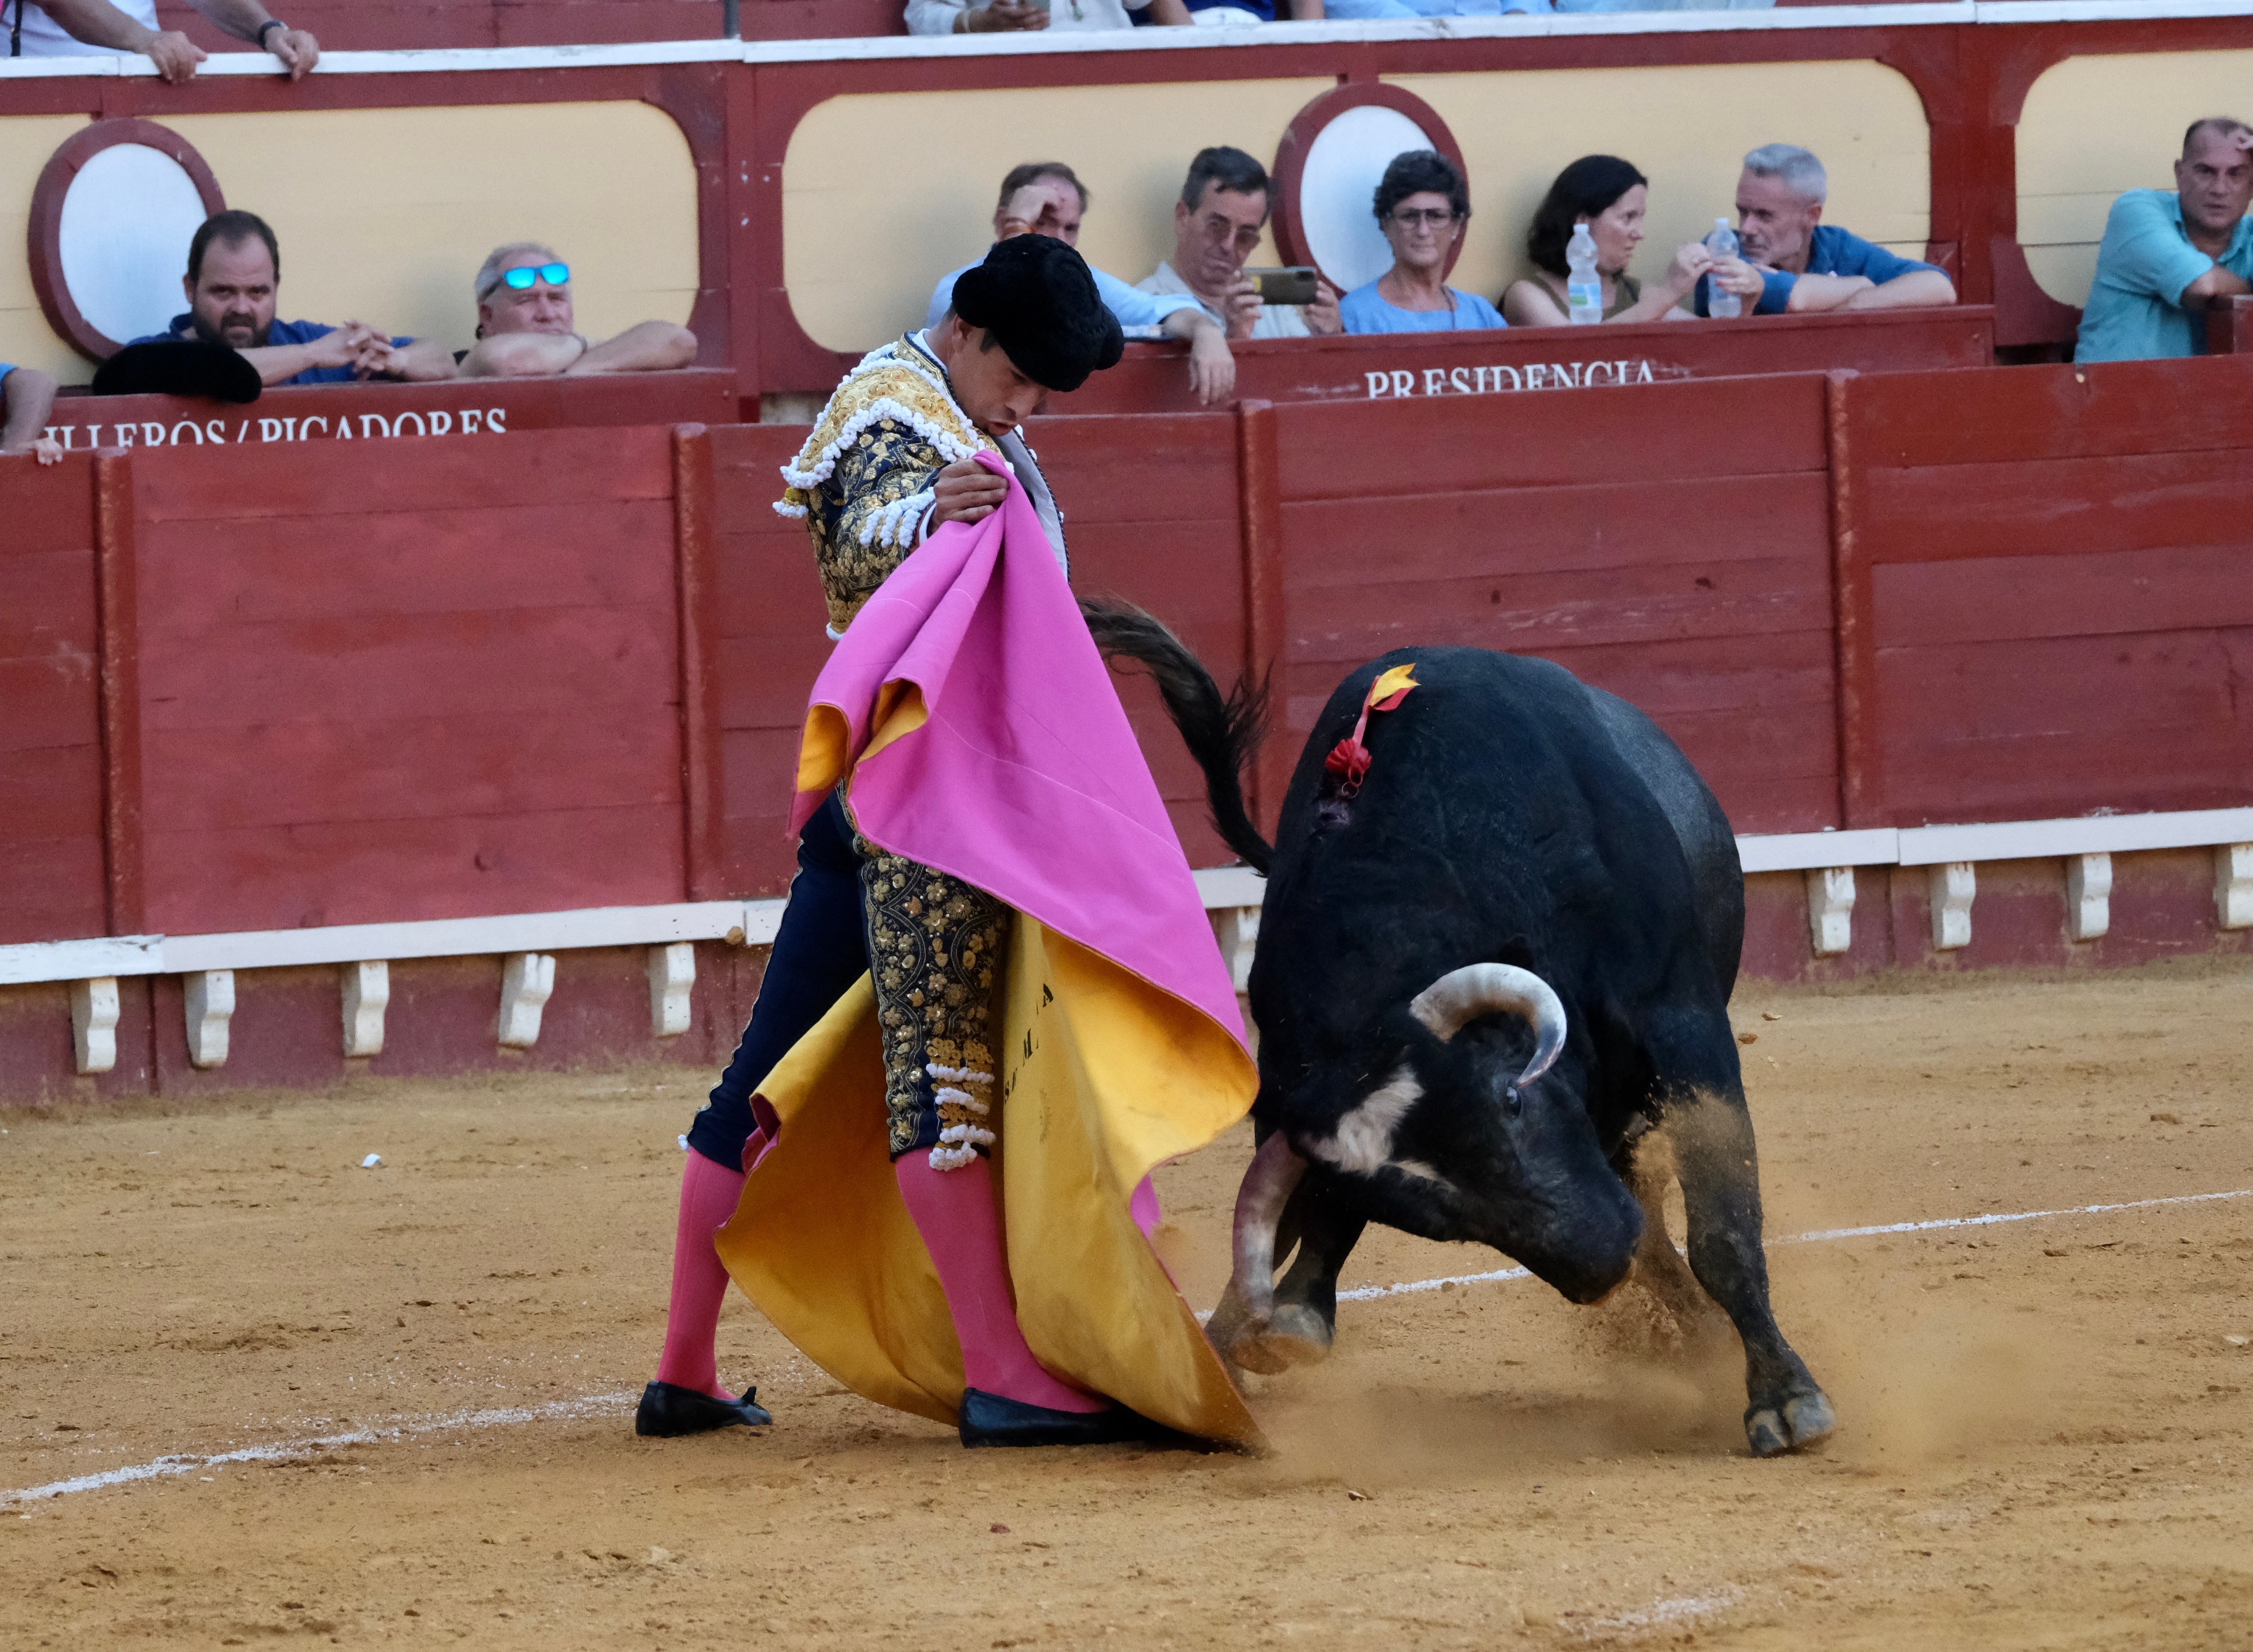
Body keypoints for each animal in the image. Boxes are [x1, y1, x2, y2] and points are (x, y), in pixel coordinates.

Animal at [1081, 617, 1838, 1460]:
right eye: (1436, 1220)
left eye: (1512, 1099)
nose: (1597, 1258)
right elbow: (1307, 1219)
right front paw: (1255, 1342)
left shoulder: (1682, 1023)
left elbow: (1724, 1229)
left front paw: (1785, 1400)